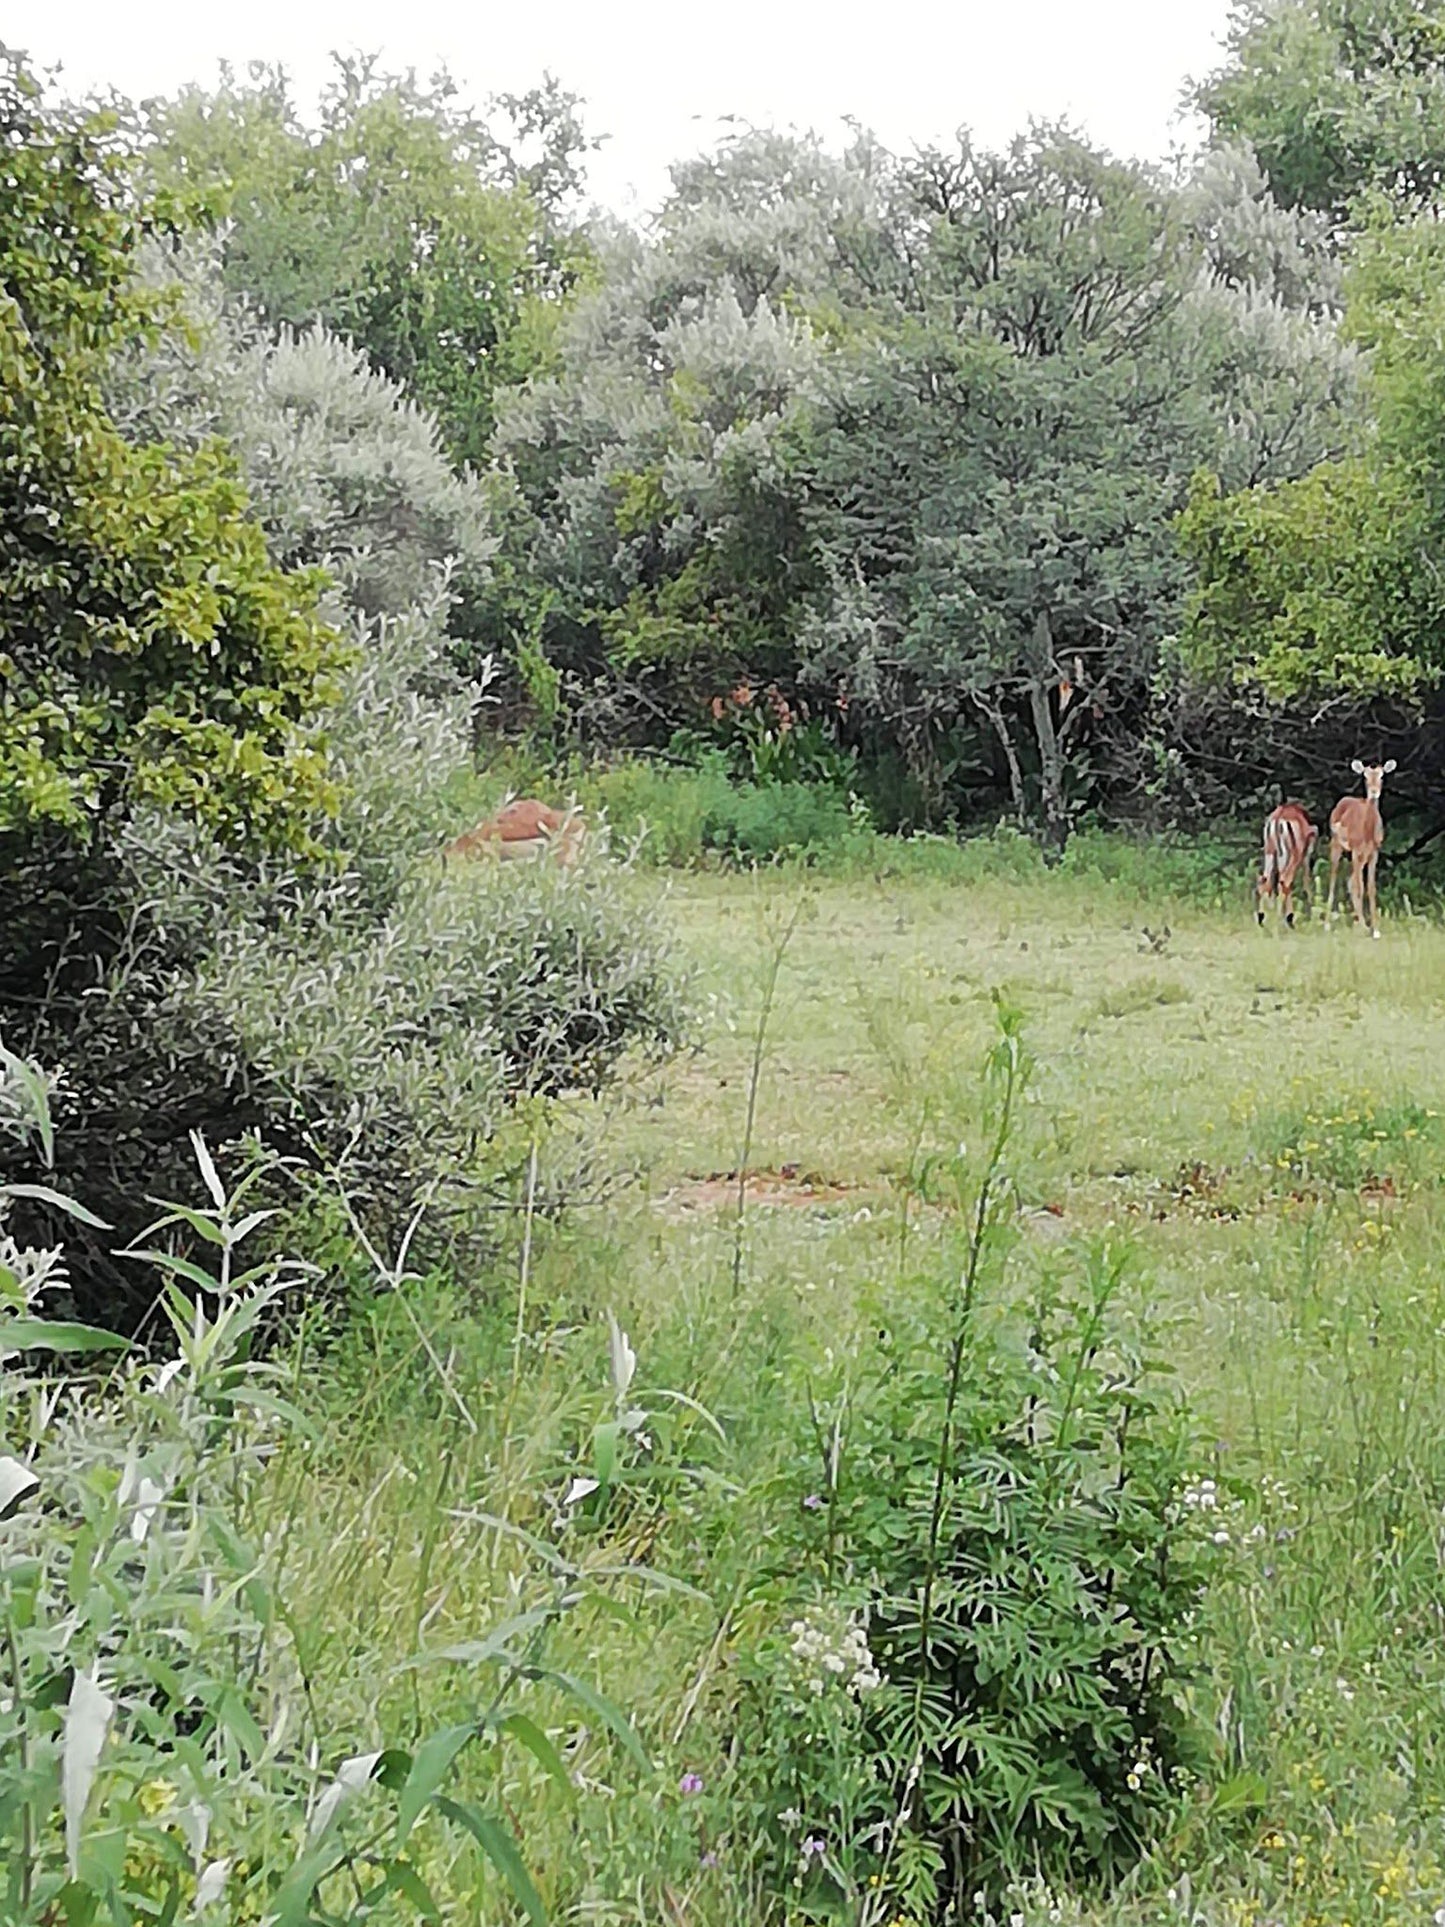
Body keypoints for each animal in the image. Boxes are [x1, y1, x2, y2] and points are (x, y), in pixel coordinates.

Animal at [1256, 793, 1325, 921]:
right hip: (1291, 856)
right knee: (1285, 881)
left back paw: (1264, 917)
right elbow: (1306, 878)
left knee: (1265, 881)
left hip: (1271, 852)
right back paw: (1284, 918)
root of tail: (1278, 819)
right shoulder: (1305, 856)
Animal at [1333, 755, 1394, 936]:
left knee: (1351, 881)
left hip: (1360, 858)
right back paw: (1327, 923)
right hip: (1337, 846)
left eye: (1382, 776)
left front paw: (1375, 929)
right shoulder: (1356, 850)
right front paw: (1362, 927)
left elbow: (1371, 888)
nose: (1374, 792)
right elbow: (1359, 887)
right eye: (1365, 777)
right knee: (1335, 877)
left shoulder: (1374, 853)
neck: (1367, 832)